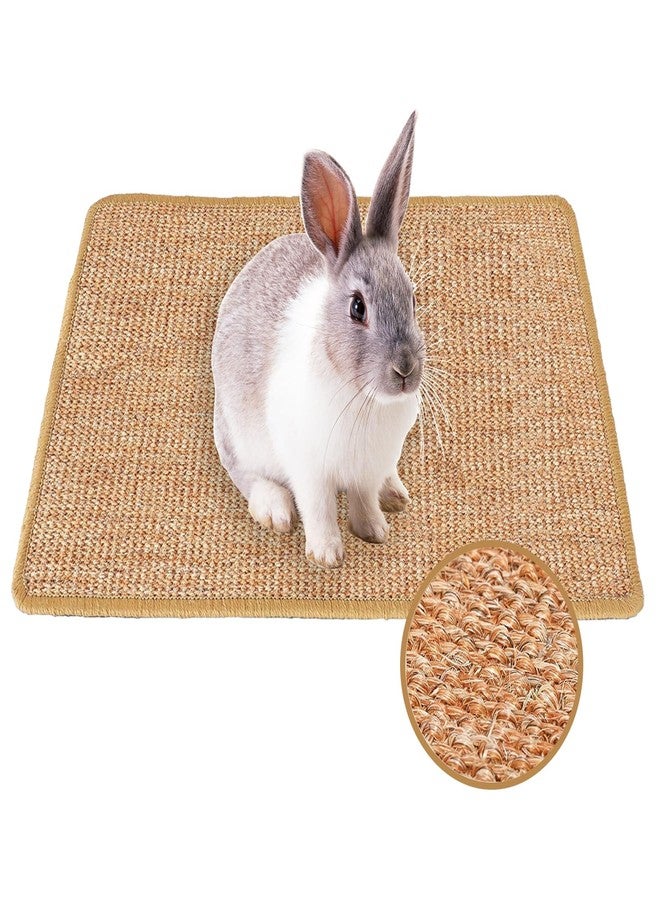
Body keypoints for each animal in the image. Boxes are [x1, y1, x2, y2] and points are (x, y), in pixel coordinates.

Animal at [212, 111, 424, 568]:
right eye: (358, 308)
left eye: (413, 298)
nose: (405, 370)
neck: (364, 398)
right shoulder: (309, 469)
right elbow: (319, 508)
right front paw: (327, 555)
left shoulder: (366, 469)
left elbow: (363, 500)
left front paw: (375, 531)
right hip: (238, 435)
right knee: (245, 473)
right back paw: (274, 510)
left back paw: (395, 493)